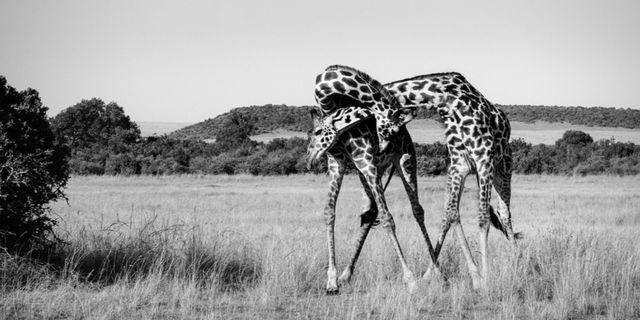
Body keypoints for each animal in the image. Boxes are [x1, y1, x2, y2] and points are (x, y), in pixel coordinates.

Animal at [306, 105, 438, 296]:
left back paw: (437, 271)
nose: (309, 160)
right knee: (370, 213)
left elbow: (387, 218)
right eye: (309, 133)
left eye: (317, 132)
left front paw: (411, 281)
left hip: (404, 160)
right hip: (375, 169)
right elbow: (329, 212)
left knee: (417, 210)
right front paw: (331, 282)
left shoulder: (367, 164)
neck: (343, 138)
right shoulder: (337, 163)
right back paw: (345, 276)